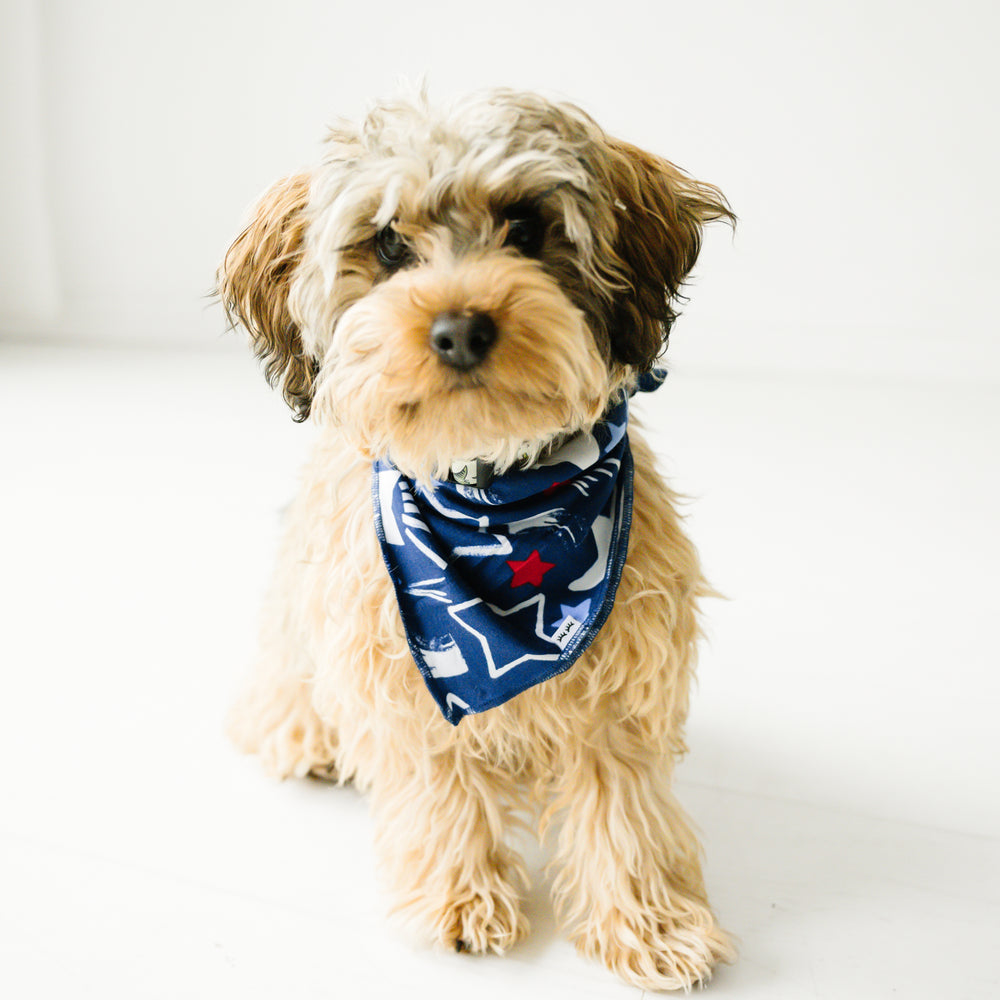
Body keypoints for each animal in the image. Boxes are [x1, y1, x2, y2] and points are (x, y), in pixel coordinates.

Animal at [219, 88, 736, 992]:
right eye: (390, 243)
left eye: (525, 226)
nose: (459, 329)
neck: (499, 497)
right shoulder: (408, 669)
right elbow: (442, 790)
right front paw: (460, 898)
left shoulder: (621, 683)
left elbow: (626, 812)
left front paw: (649, 922)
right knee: (285, 663)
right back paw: (300, 730)